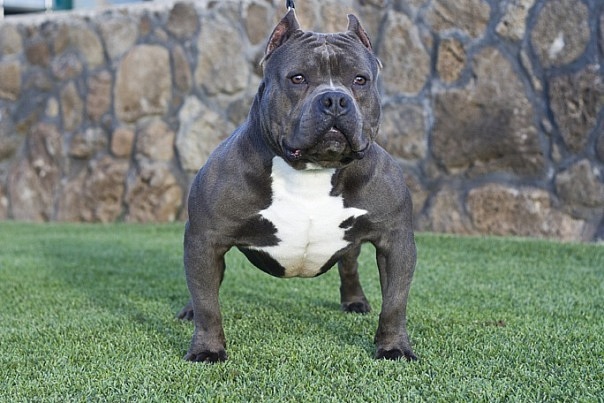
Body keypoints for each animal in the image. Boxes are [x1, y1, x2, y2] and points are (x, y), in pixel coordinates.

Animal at [178, 4, 417, 363]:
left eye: (360, 80)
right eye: (298, 78)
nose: (335, 99)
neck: (312, 169)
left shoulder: (396, 239)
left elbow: (395, 302)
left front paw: (394, 346)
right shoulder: (206, 239)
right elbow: (208, 303)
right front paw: (207, 349)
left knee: (349, 265)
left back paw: (355, 301)